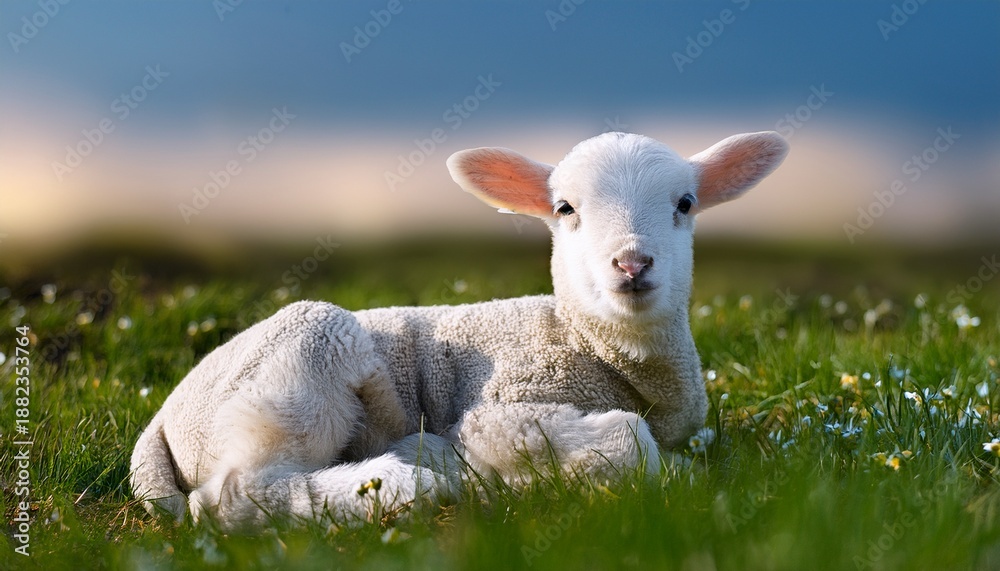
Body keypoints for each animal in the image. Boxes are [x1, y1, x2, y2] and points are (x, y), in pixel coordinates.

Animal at [130, 130, 788, 529]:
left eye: (685, 203)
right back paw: (405, 482)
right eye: (565, 209)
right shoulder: (501, 407)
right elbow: (629, 441)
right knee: (235, 496)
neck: (589, 343)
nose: (631, 264)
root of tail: (161, 419)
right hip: (306, 349)